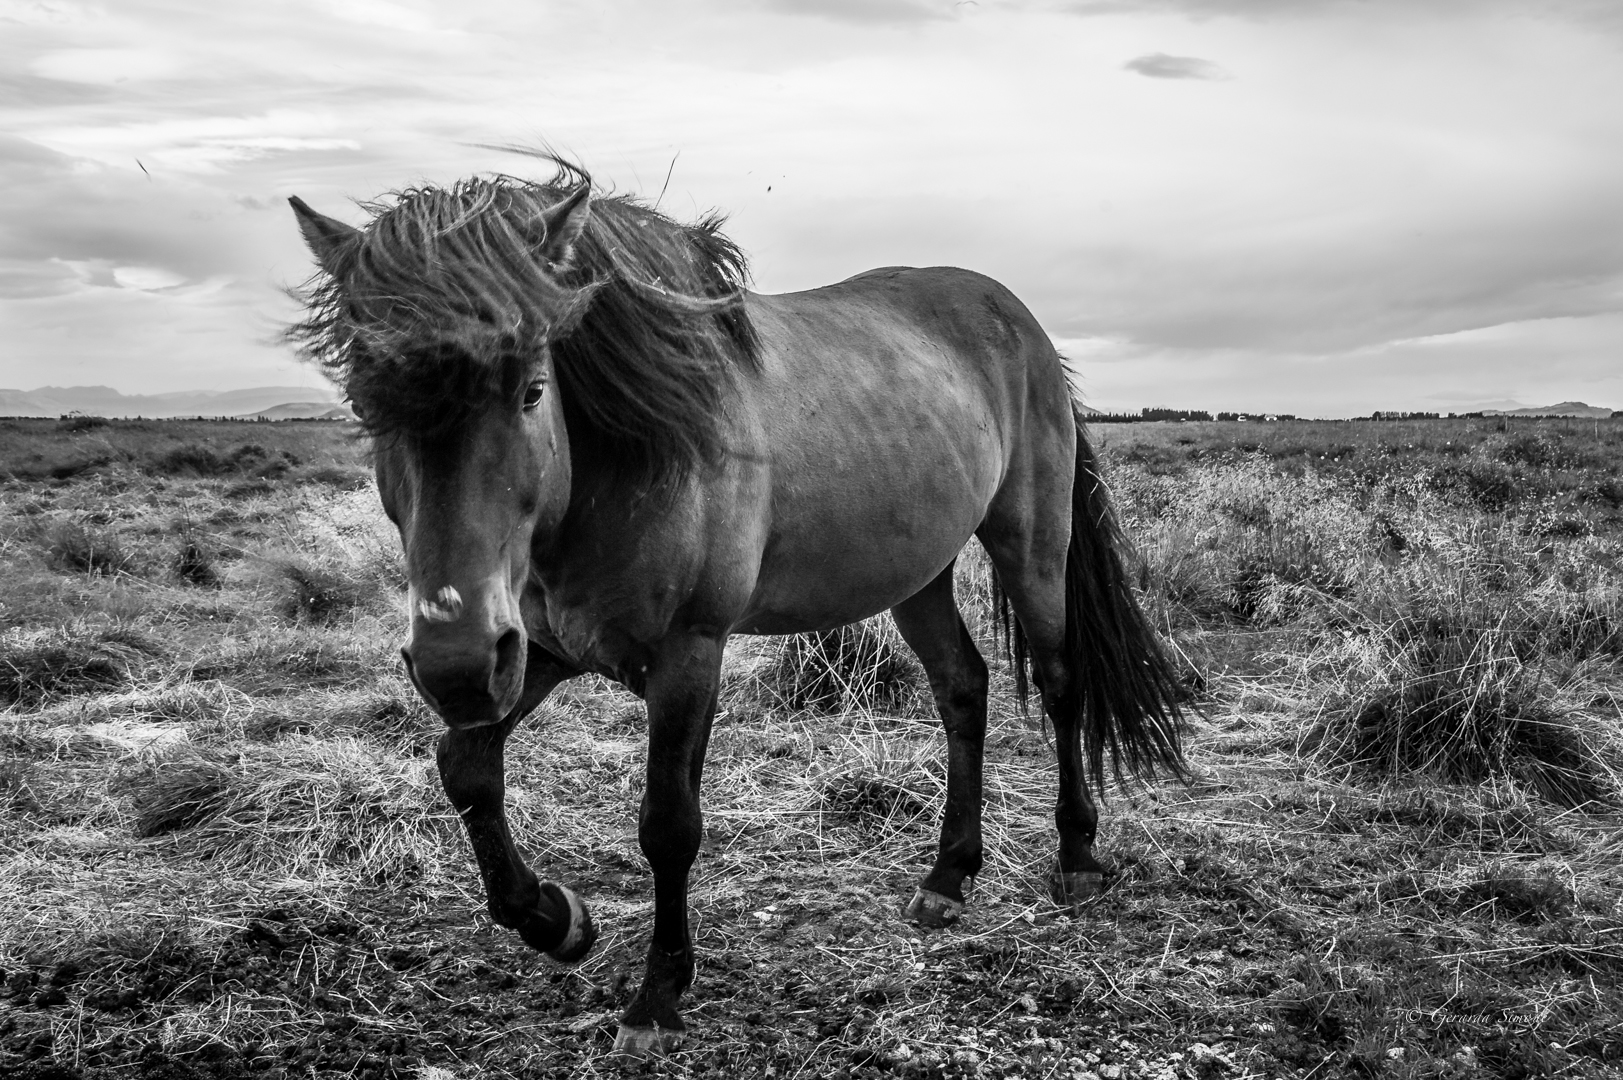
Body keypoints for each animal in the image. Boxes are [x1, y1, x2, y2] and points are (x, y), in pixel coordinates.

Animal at [288, 164, 1181, 1058]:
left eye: (532, 390)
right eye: (366, 407)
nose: (454, 666)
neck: (620, 469)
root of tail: (1018, 318)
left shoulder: (688, 653)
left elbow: (667, 824)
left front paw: (656, 995)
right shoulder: (545, 647)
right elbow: (465, 766)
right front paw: (556, 920)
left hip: (1031, 543)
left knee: (1061, 683)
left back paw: (1074, 856)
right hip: (917, 574)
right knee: (962, 687)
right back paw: (948, 875)